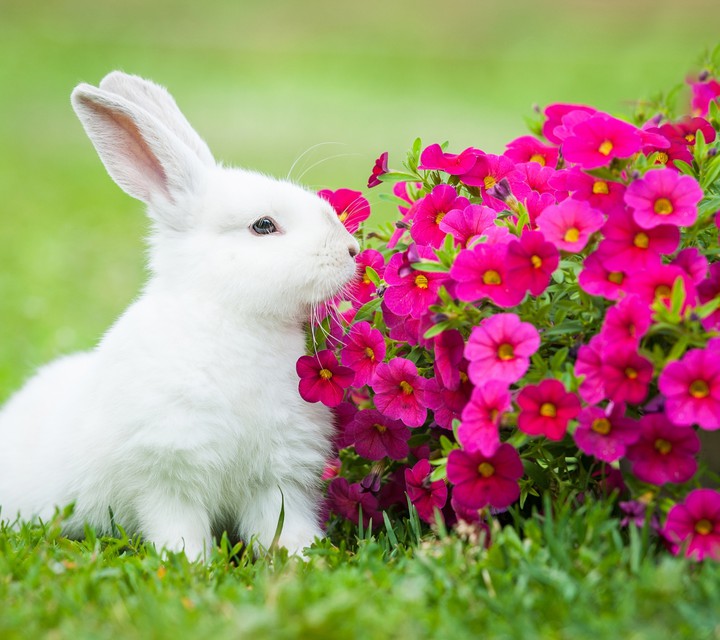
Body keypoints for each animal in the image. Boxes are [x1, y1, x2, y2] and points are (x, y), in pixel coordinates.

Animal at [0, 71, 360, 560]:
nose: (352, 250)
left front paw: (303, 558)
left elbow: (283, 526)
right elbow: (179, 527)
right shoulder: (166, 475)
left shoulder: (277, 477)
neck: (234, 319)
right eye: (263, 225)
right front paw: (192, 563)